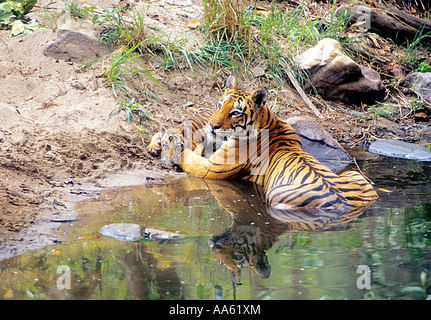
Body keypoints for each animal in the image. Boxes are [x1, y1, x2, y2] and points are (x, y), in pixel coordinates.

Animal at [179, 75, 378, 210]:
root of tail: (345, 204)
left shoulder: (212, 168)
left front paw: (181, 145)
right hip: (356, 174)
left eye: (235, 113)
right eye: (219, 105)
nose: (212, 125)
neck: (269, 122)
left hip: (276, 195)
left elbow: (188, 157)